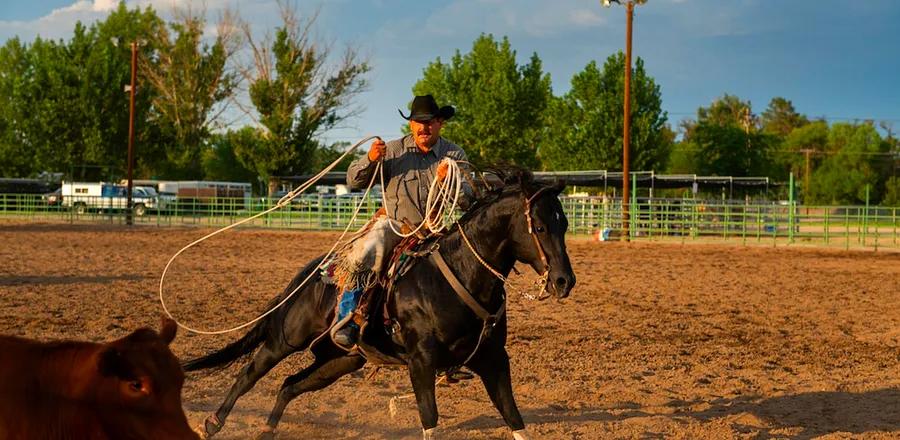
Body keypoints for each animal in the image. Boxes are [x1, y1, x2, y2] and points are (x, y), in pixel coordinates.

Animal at [183, 169, 576, 440]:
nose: (564, 281)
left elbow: (514, 418)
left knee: (290, 384)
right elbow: (430, 419)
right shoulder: (421, 363)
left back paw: (267, 431)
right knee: (250, 372)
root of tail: (313, 271)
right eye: (540, 227)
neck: (460, 276)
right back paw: (212, 423)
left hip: (341, 360)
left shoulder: (494, 360)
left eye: (565, 224)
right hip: (287, 339)